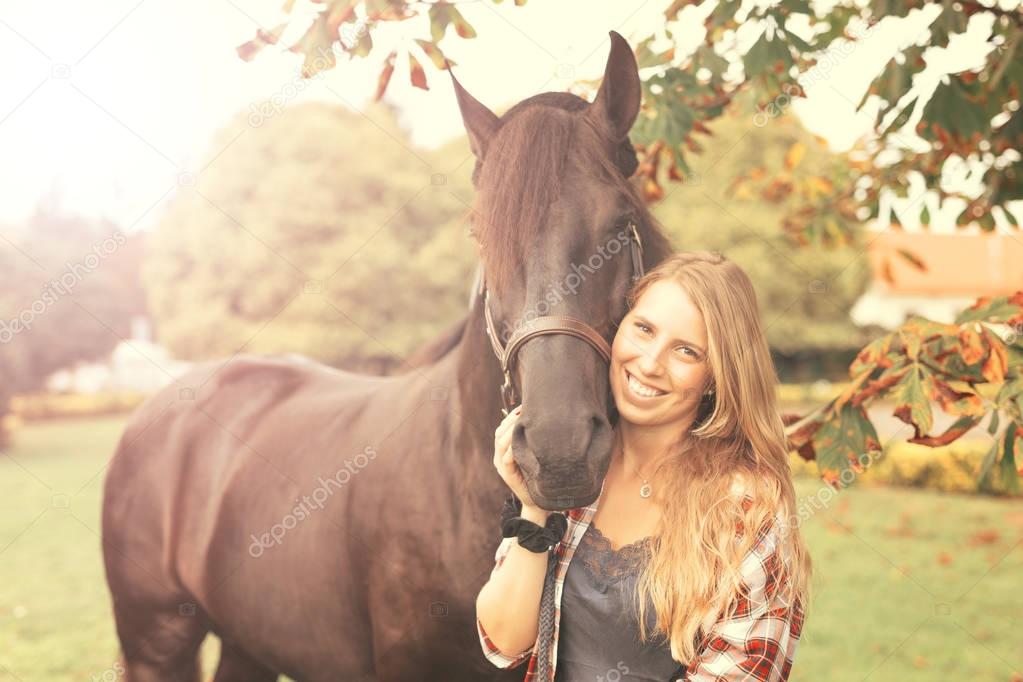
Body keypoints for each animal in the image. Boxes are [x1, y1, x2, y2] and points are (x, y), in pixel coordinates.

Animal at [97, 29, 671, 678]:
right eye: (481, 236)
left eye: (621, 223)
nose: (560, 451)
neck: (457, 491)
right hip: (156, 644)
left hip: (249, 644)